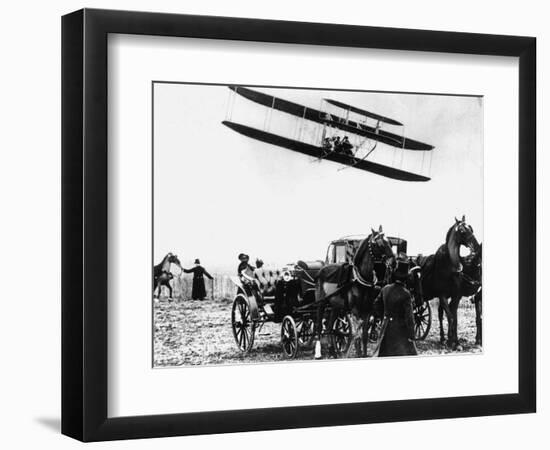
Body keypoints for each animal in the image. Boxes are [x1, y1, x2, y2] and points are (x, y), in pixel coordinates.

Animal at [314, 227, 396, 360]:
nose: (393, 262)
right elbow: (356, 334)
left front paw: (364, 354)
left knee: (330, 327)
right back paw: (318, 353)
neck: (360, 279)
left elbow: (364, 335)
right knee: (319, 327)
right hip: (321, 304)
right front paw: (358, 354)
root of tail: (322, 269)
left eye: (389, 242)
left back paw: (333, 352)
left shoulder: (367, 311)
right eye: (378, 244)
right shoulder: (355, 311)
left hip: (336, 306)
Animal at [420, 216, 480, 350]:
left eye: (471, 228)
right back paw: (443, 339)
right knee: (439, 315)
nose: (477, 246)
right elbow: (451, 317)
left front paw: (455, 342)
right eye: (462, 231)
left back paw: (443, 339)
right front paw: (451, 341)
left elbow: (454, 318)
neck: (450, 267)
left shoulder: (456, 296)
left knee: (441, 313)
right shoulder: (442, 295)